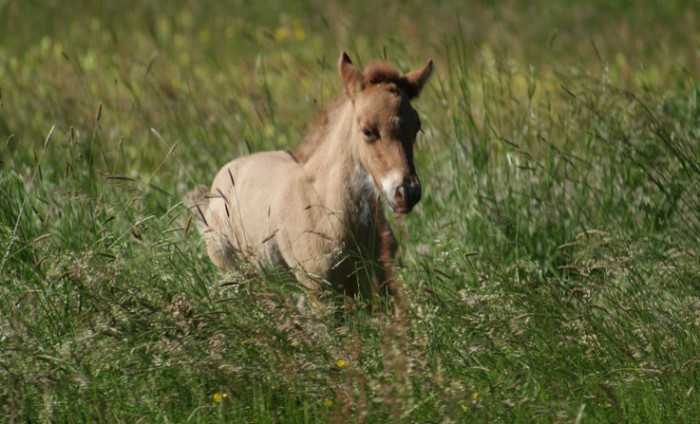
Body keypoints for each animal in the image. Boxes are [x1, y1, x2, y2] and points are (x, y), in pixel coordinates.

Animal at [191, 52, 432, 298]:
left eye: (416, 127)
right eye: (367, 131)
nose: (406, 192)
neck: (326, 209)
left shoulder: (380, 280)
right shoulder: (317, 288)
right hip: (235, 274)